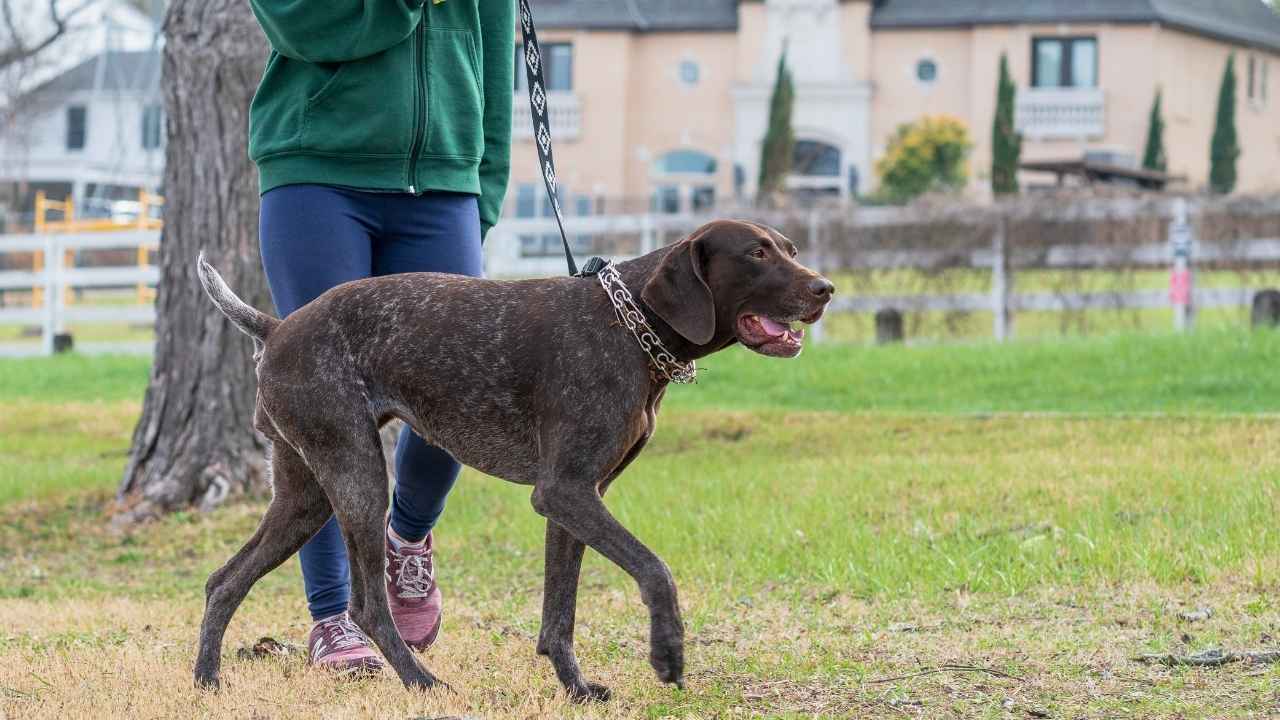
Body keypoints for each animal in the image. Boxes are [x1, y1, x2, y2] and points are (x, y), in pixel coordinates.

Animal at [189, 220, 829, 702]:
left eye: (791, 250)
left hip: (305, 496)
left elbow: (559, 616)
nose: (825, 289)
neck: (631, 325)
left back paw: (206, 681)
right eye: (756, 253)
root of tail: (276, 328)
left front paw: (576, 689)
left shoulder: (577, 500)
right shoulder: (566, 492)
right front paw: (667, 654)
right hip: (357, 477)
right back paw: (423, 682)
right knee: (367, 605)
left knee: (224, 581)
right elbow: (655, 570)